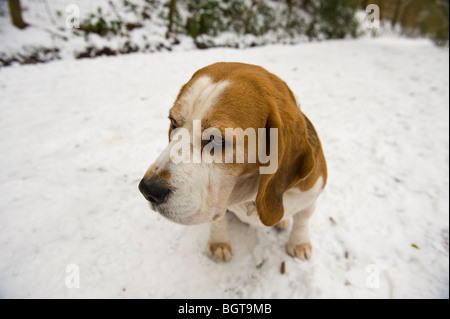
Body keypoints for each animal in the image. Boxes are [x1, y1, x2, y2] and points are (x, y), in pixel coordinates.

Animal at [138, 62, 326, 262]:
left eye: (217, 139)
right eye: (174, 123)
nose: (148, 190)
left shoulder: (311, 195)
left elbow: (303, 220)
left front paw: (298, 243)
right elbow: (218, 221)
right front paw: (219, 243)